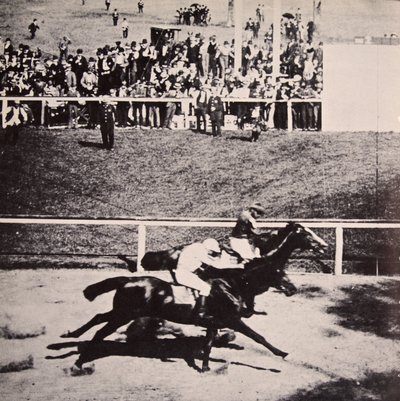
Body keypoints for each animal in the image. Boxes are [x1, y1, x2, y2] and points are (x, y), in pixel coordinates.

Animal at [60, 220, 328, 370]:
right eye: (307, 233)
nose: (324, 245)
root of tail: (128, 279)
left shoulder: (220, 317)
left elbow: (214, 339)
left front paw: (206, 364)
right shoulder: (233, 316)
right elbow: (255, 332)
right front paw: (280, 353)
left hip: (121, 311)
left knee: (98, 318)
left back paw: (71, 337)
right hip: (124, 313)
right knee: (100, 331)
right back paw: (80, 360)